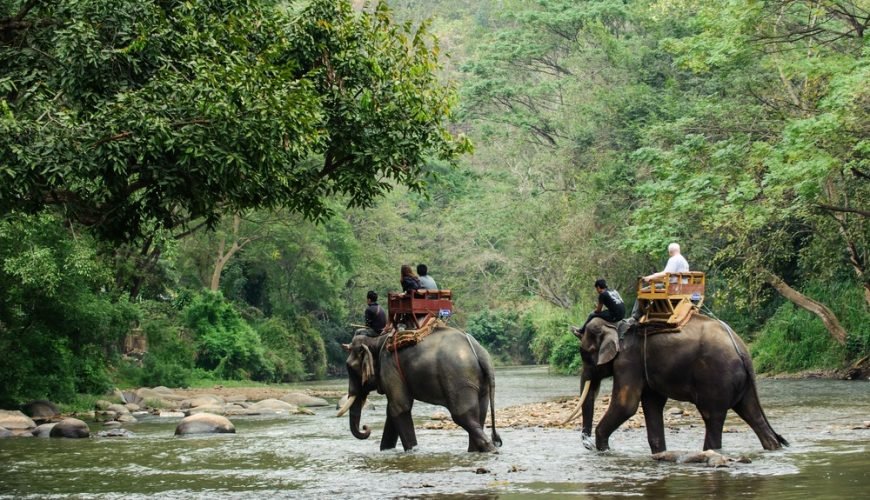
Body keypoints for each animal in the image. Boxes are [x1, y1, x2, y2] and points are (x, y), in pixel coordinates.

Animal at [340, 326, 504, 452]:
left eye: (350, 367)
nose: (365, 427)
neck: (378, 340)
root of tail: (480, 352)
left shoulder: (390, 367)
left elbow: (400, 408)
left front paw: (412, 451)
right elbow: (392, 411)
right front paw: (386, 450)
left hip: (459, 379)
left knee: (462, 416)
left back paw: (490, 449)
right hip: (479, 383)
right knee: (479, 415)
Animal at [568, 316, 792, 454]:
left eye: (585, 354)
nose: (587, 443)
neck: (614, 324)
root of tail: (743, 350)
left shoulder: (628, 361)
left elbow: (626, 405)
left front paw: (604, 450)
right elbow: (652, 404)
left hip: (716, 378)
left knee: (712, 417)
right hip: (743, 384)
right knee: (752, 413)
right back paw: (773, 447)